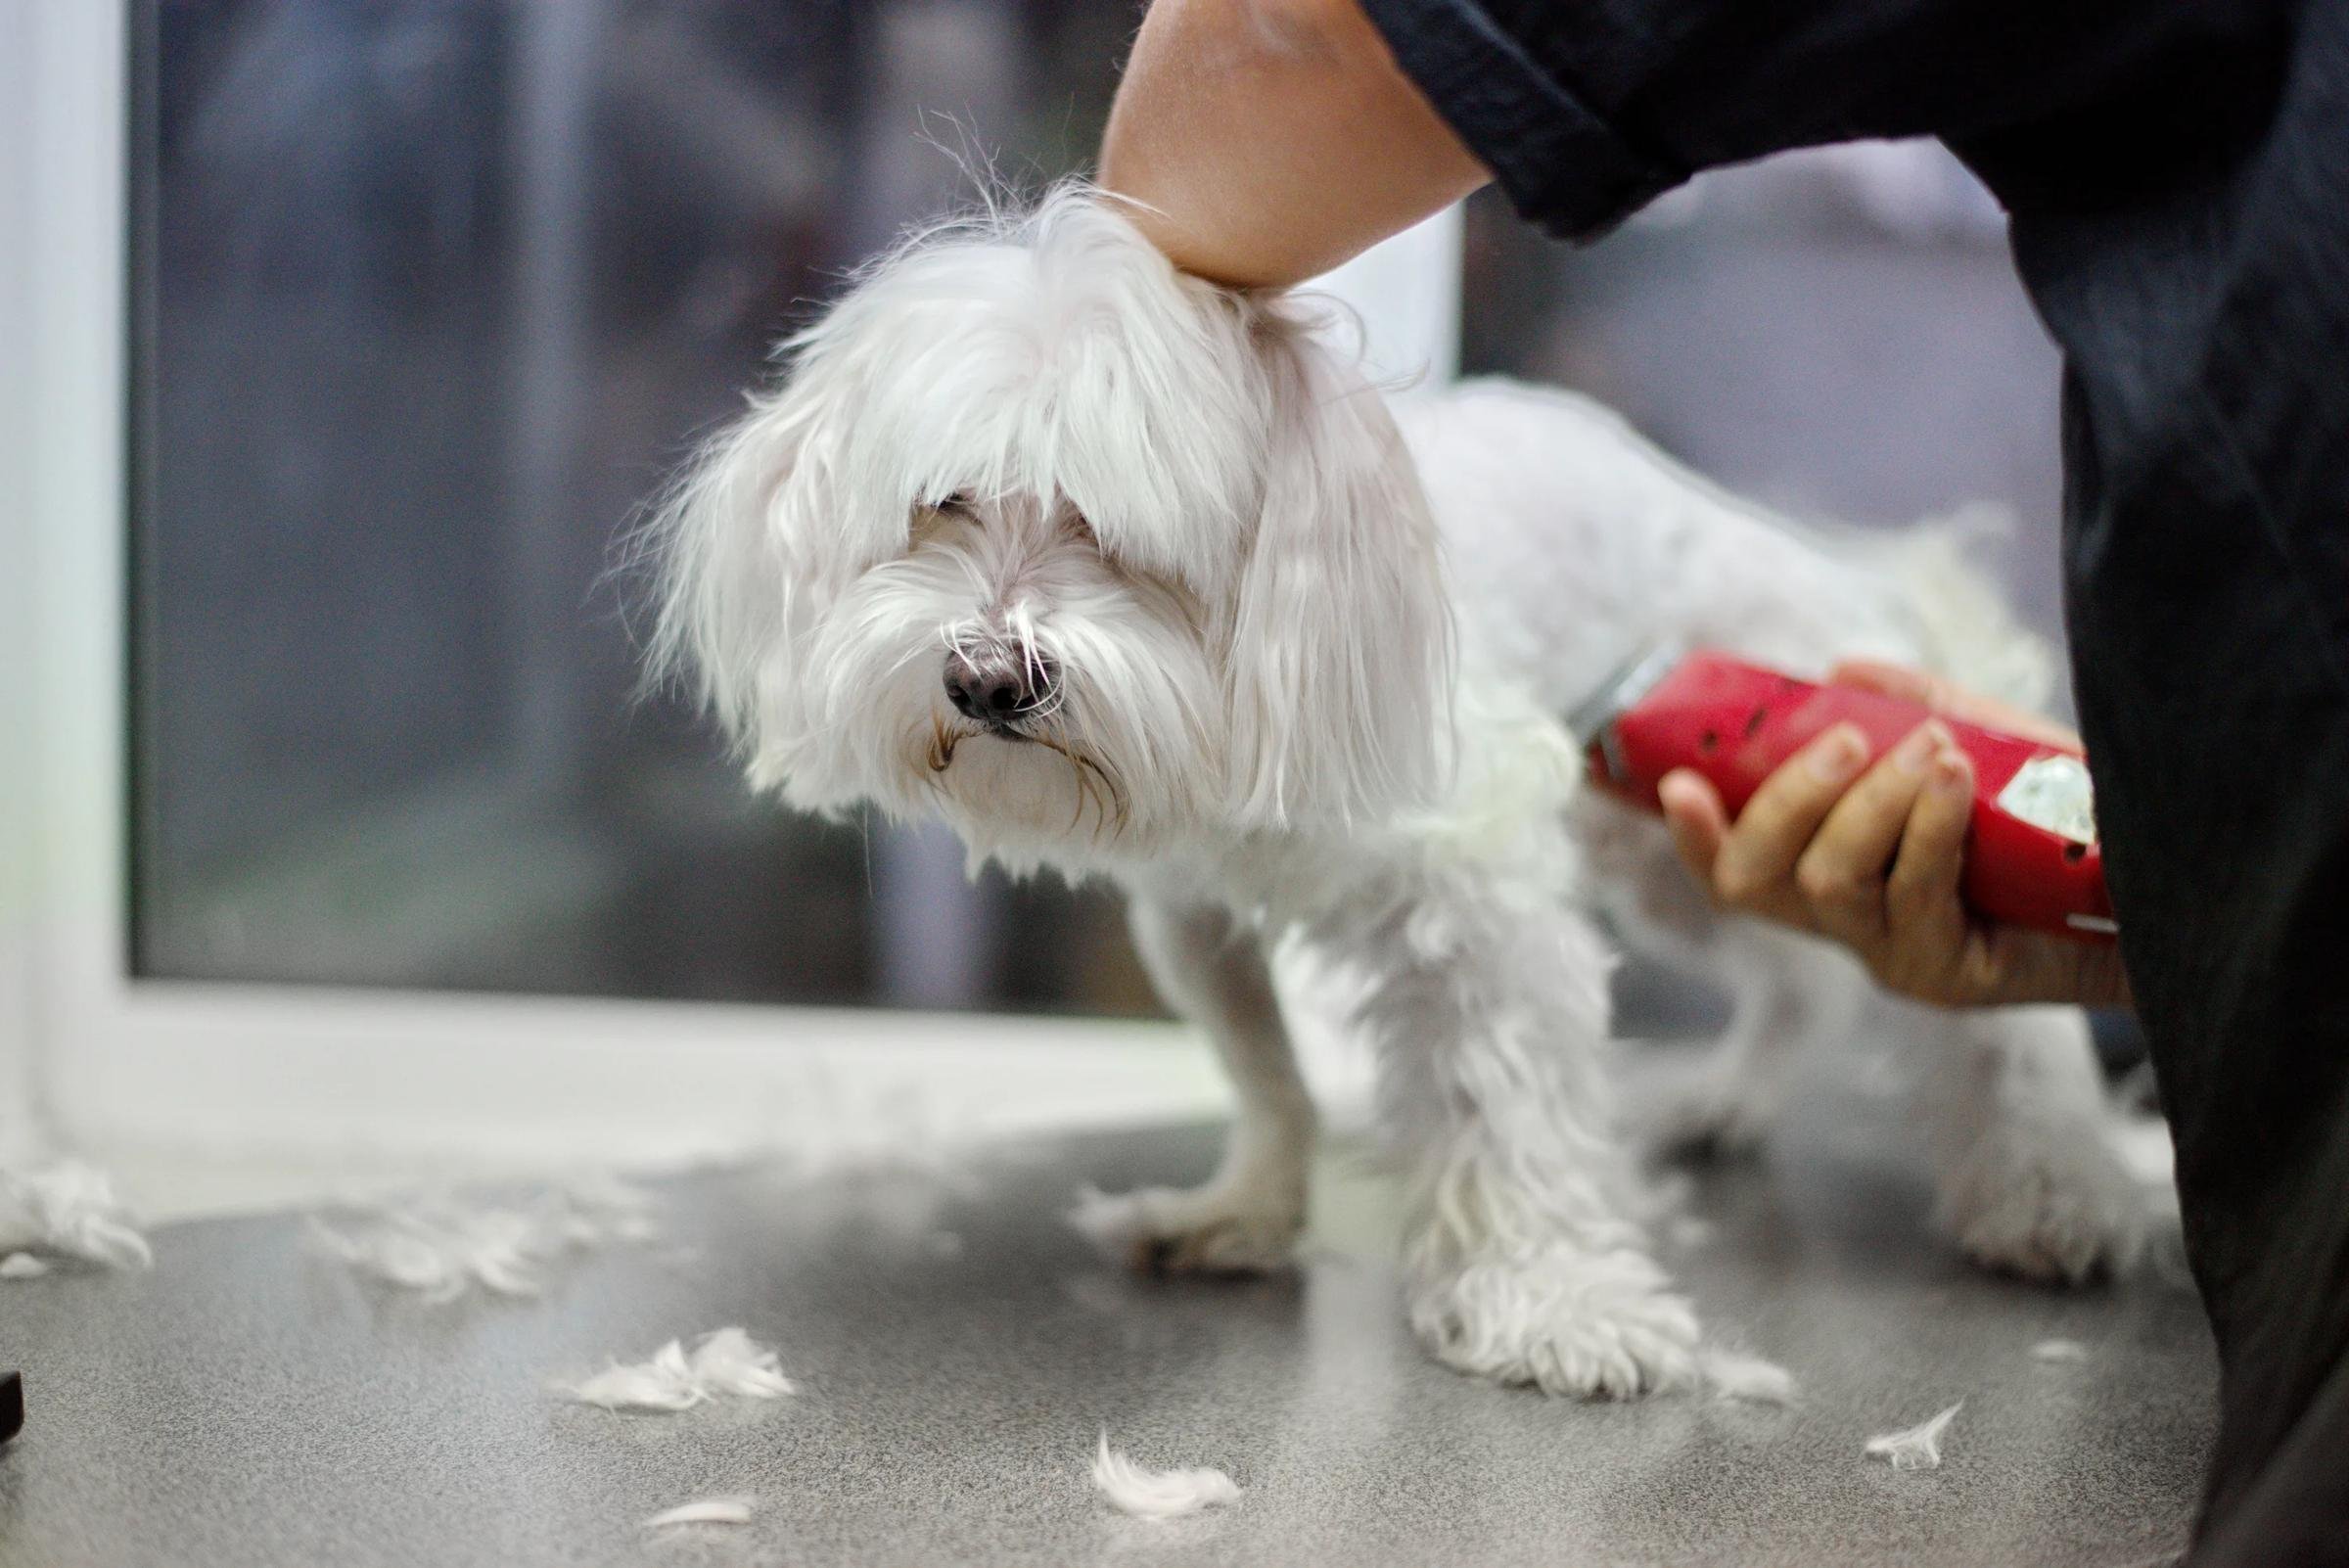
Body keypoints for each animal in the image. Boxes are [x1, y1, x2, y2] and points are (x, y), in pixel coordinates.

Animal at [648, 184, 2151, 1399]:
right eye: (944, 501)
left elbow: (1504, 1100)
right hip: (1694, 849)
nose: (986, 678)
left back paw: (2054, 1190)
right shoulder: (1193, 919)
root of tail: (1822, 565)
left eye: (1114, 530)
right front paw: (1245, 1209)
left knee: (1984, 1013)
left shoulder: (1480, 902)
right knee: (1800, 983)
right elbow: (1266, 1076)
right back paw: (1726, 1100)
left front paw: (1546, 1302)